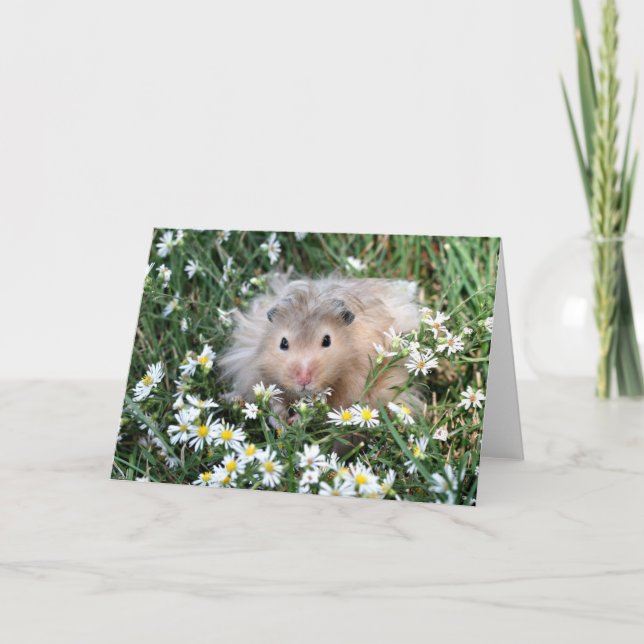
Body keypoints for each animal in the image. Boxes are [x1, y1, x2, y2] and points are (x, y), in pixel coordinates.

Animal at [220, 275, 421, 411]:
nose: (303, 380)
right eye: (283, 343)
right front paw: (285, 424)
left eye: (327, 340)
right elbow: (274, 403)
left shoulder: (356, 381)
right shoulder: (255, 373)